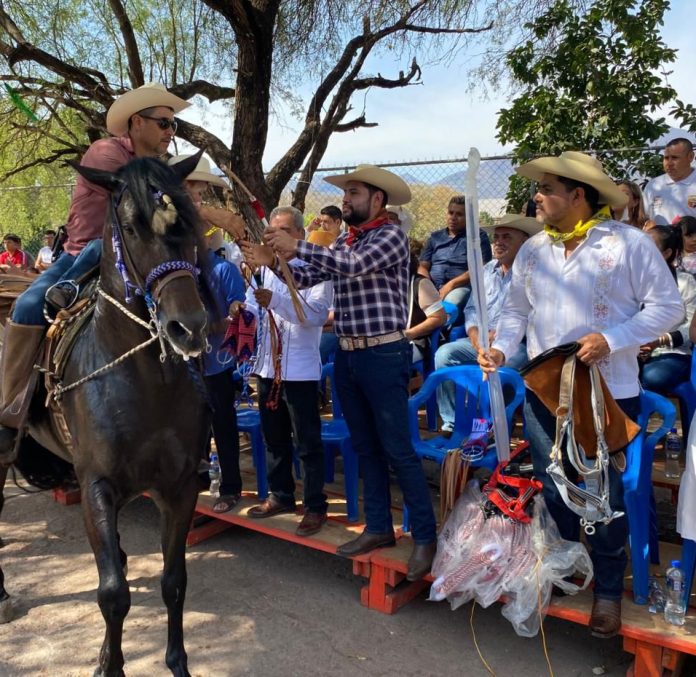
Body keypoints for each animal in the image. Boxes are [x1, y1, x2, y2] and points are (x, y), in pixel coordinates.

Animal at [0, 153, 212, 676]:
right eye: (132, 228)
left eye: (190, 223)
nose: (188, 328)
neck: (143, 380)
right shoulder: (97, 485)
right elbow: (113, 594)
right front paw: (108, 664)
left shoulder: (179, 488)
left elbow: (173, 581)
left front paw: (176, 662)